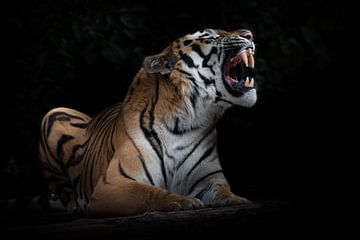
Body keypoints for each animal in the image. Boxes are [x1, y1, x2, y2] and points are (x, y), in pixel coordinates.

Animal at [39, 28, 258, 218]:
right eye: (209, 35)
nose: (249, 33)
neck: (189, 121)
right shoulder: (114, 183)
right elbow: (149, 193)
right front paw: (184, 201)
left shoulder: (209, 177)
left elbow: (223, 190)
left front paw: (237, 199)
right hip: (53, 114)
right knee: (64, 194)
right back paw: (75, 206)